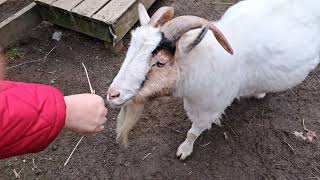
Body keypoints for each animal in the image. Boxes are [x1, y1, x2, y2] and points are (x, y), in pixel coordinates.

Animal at [107, 0, 320, 160]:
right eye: (130, 50)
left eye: (160, 63)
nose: (113, 95)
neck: (199, 62)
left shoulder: (208, 111)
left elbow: (192, 133)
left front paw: (184, 151)